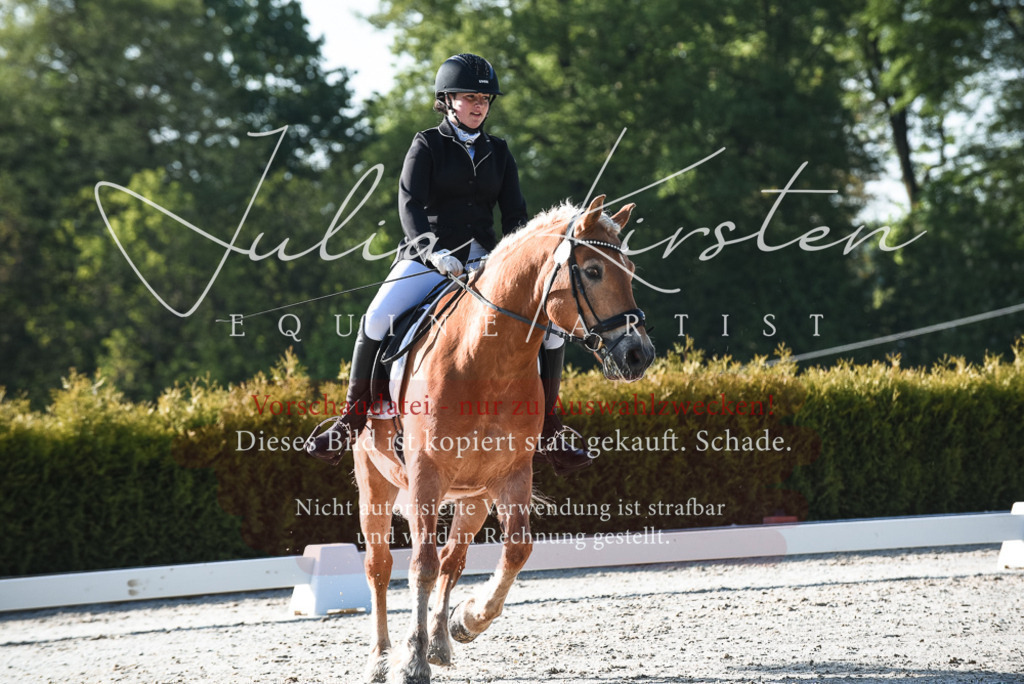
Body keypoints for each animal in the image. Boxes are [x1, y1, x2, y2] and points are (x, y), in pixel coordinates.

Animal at [352, 194, 656, 684]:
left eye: (628, 269)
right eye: (593, 271)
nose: (638, 355)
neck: (487, 359)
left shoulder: (511, 474)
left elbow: (516, 550)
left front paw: (467, 621)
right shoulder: (425, 475)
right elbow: (421, 564)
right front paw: (412, 661)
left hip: (473, 496)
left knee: (454, 559)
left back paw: (440, 641)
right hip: (375, 482)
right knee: (380, 566)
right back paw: (381, 659)